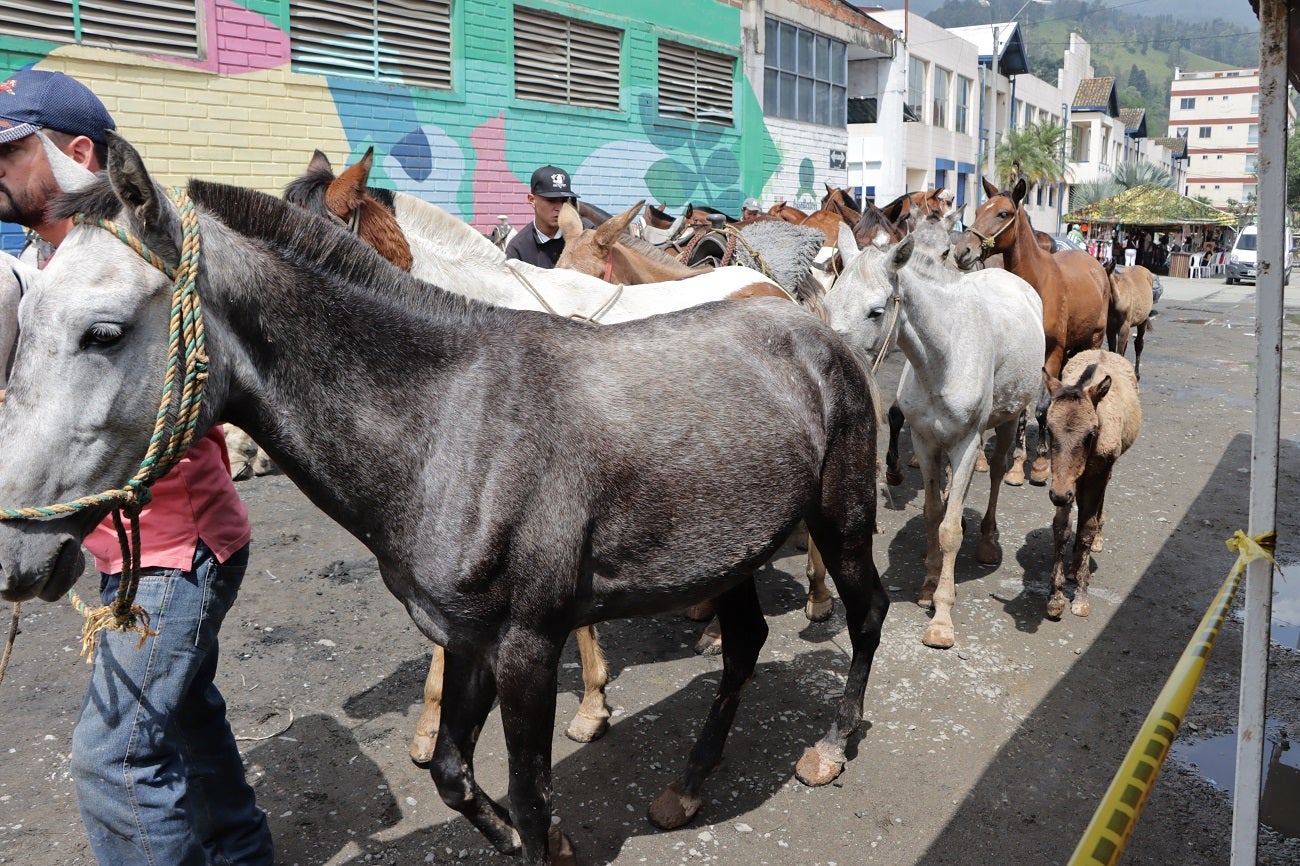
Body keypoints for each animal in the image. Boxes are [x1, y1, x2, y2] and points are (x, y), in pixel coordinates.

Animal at [0, 133, 890, 866]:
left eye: (104, 332)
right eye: (25, 320)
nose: (16, 554)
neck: (453, 417)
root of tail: (811, 324)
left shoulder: (528, 647)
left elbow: (530, 796)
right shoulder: (468, 639)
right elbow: (455, 774)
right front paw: (547, 837)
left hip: (840, 521)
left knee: (867, 612)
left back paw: (831, 745)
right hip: (729, 548)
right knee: (743, 644)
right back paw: (689, 785)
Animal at [824, 220, 1044, 649]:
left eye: (876, 312)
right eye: (828, 303)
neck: (944, 357)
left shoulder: (966, 445)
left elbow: (950, 530)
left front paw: (942, 618)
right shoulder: (926, 442)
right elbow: (931, 514)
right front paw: (928, 585)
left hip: (1007, 421)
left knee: (996, 471)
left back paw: (987, 541)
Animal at [953, 177, 1110, 485]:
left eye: (1002, 213)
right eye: (977, 211)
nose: (962, 251)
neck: (1037, 284)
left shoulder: (1054, 351)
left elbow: (1041, 408)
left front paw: (1039, 464)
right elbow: (1024, 410)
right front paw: (1016, 464)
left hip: (1093, 340)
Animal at [1043, 350, 1142, 618]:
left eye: (1090, 434)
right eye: (1049, 429)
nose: (1057, 495)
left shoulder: (1097, 474)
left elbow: (1087, 528)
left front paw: (1081, 595)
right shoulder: (1065, 481)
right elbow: (1061, 528)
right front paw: (1055, 597)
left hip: (1103, 473)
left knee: (1097, 508)